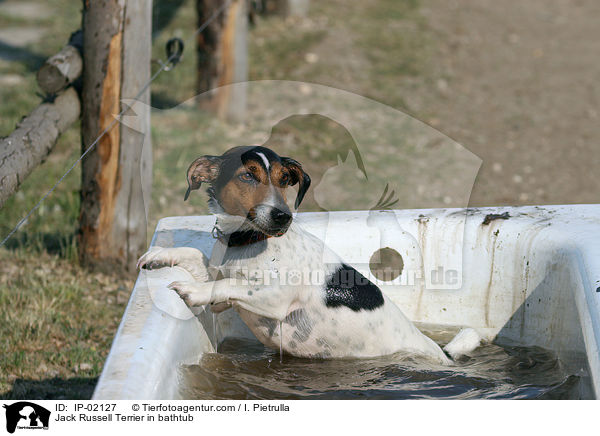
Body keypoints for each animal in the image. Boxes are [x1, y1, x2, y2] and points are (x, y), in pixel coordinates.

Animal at [137, 146, 478, 362]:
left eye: (284, 179)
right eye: (247, 176)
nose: (282, 217)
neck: (248, 241)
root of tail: (439, 350)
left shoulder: (274, 297)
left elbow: (228, 284)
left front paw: (193, 290)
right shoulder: (218, 273)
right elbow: (196, 255)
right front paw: (160, 254)